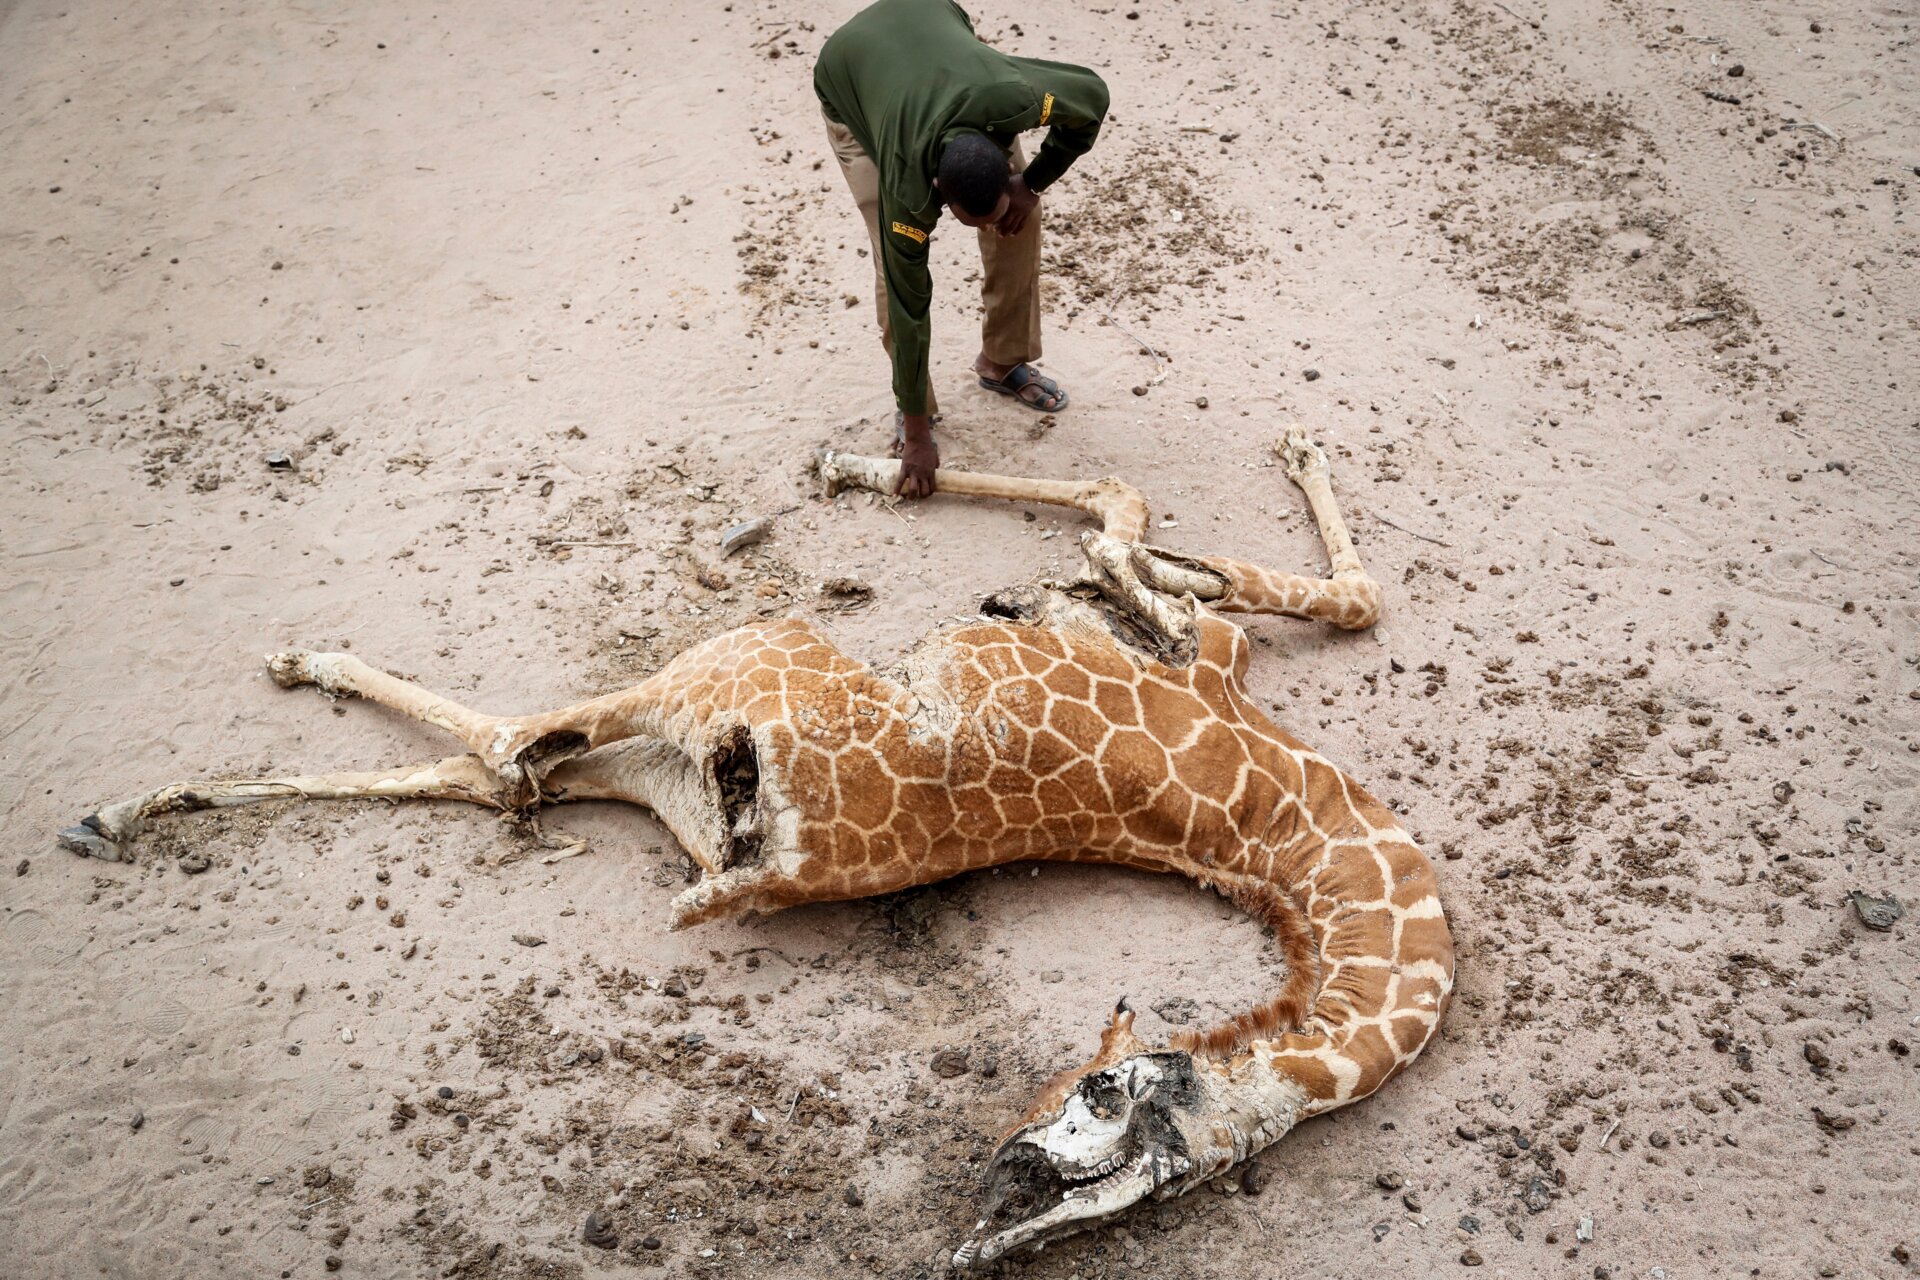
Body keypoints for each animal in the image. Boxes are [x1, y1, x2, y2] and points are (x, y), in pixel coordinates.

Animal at [58, 427, 1453, 1269]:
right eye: (1101, 1088)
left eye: (1143, 1177)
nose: (993, 1198)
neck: (1304, 832)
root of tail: (771, 853)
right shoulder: (1218, 662)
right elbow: (1223, 559)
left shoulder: (1210, 659)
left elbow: (1152, 530)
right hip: (673, 729)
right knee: (512, 765)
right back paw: (155, 784)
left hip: (704, 682)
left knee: (506, 758)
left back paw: (175, 766)